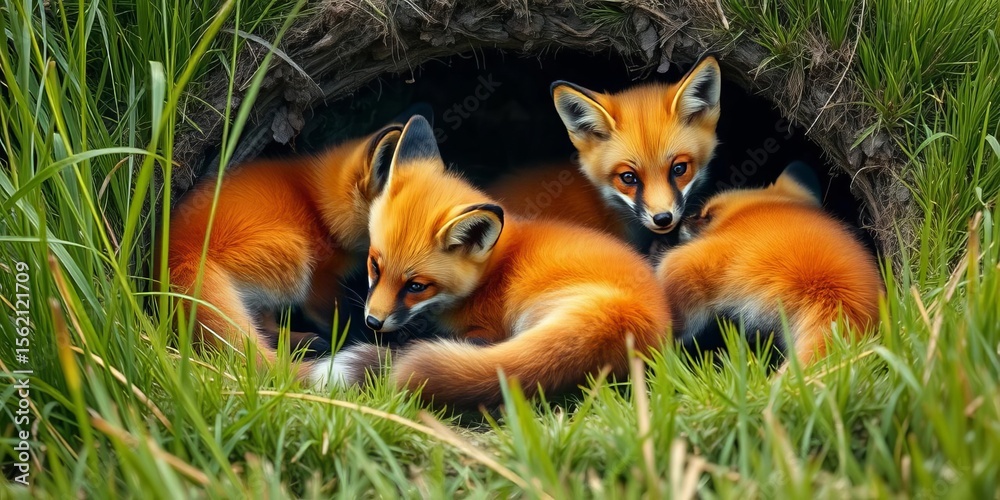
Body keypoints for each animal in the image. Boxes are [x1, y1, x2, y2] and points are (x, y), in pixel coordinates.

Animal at [165, 123, 402, 377]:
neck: (318, 209)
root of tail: (179, 254)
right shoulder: (320, 282)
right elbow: (342, 321)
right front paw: (360, 339)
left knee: (262, 329)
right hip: (296, 256)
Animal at [310, 115, 671, 409]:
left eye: (416, 286)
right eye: (374, 266)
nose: (373, 322)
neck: (493, 271)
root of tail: (624, 319)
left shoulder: (489, 329)